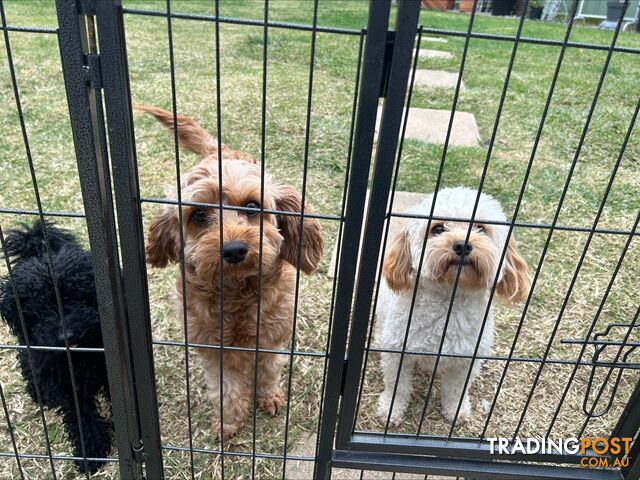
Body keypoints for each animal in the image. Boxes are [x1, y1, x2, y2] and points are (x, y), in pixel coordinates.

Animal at [0, 220, 112, 472]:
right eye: (40, 309)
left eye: (78, 296)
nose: (65, 336)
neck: (79, 356)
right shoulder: (66, 384)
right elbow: (79, 415)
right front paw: (91, 451)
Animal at [378, 186, 528, 426]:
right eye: (438, 228)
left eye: (481, 228)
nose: (462, 244)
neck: (449, 302)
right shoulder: (395, 352)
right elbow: (397, 387)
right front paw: (391, 411)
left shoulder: (466, 361)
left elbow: (456, 390)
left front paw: (456, 411)